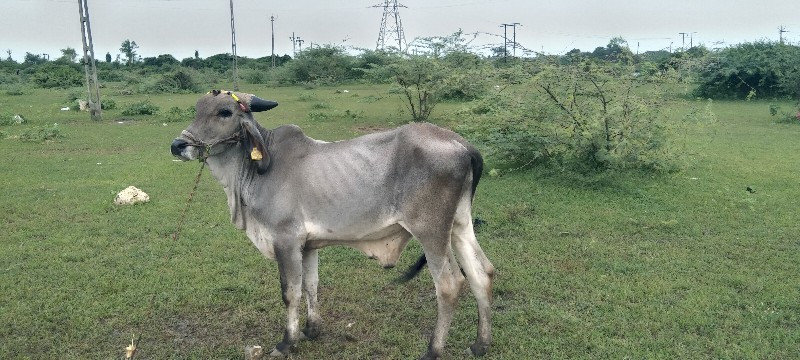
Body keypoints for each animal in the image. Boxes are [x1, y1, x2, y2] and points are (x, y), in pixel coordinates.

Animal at [170, 90, 494, 360]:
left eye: (224, 112)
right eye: (197, 108)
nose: (178, 145)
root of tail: (462, 144)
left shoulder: (285, 240)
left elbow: (290, 292)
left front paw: (287, 342)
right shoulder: (308, 245)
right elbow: (311, 285)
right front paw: (312, 329)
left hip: (431, 232)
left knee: (450, 285)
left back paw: (433, 351)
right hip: (459, 225)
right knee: (482, 273)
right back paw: (480, 344)